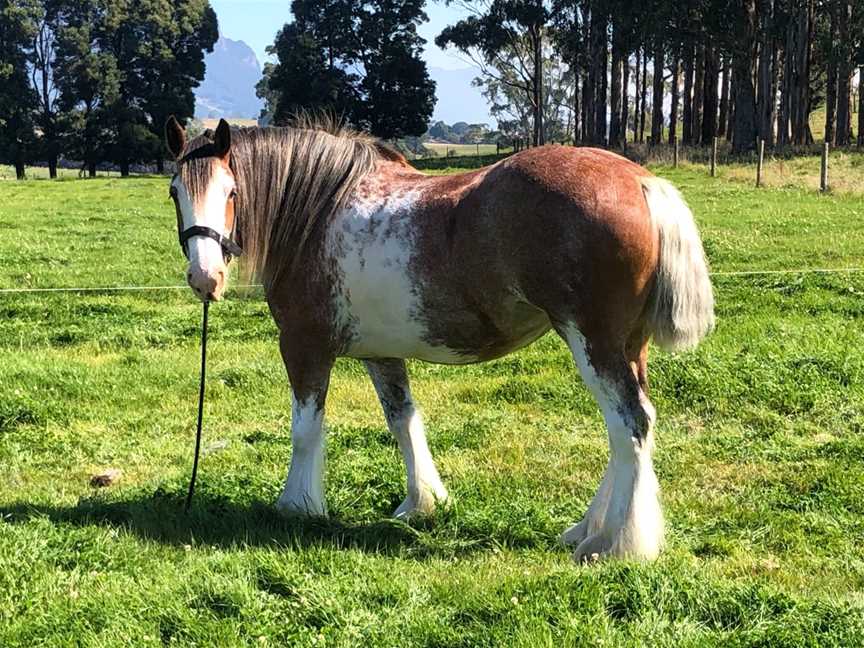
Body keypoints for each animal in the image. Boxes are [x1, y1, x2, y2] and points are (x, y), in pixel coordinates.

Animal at [165, 116, 712, 560]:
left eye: (231, 191)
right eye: (174, 192)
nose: (205, 278)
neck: (318, 212)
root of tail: (641, 180)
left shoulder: (304, 346)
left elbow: (306, 431)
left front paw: (297, 506)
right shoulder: (381, 354)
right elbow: (404, 423)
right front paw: (421, 502)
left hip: (593, 342)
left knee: (629, 424)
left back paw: (615, 543)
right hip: (628, 346)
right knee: (633, 429)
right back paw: (587, 530)